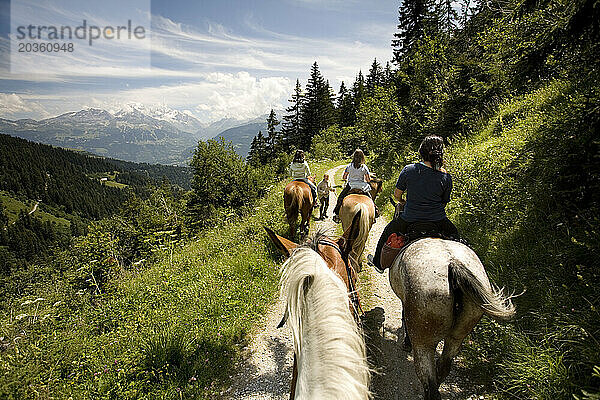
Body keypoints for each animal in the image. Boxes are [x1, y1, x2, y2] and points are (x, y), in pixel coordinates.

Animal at [390, 236, 516, 398]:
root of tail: (453, 263)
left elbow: (404, 317)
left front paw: (406, 342)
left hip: (423, 340)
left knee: (428, 379)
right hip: (460, 332)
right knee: (444, 365)